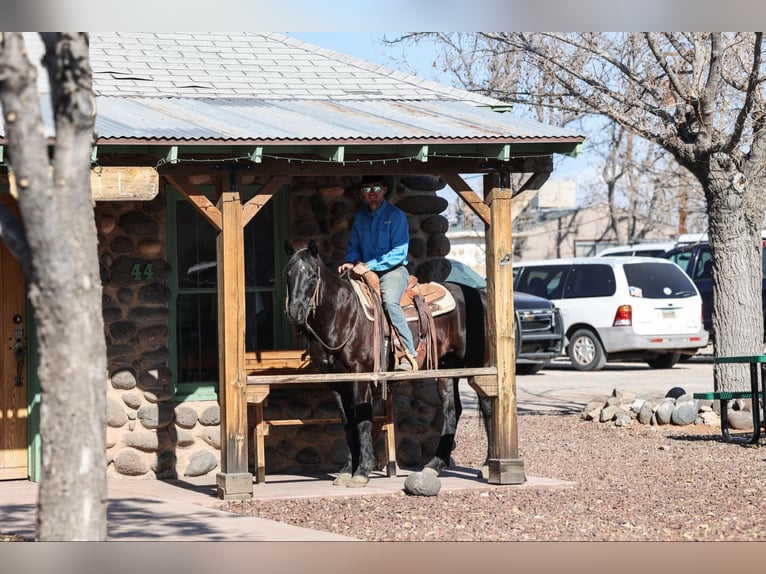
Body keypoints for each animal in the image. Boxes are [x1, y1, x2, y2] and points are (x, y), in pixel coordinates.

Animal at [283, 240, 493, 487]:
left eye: (312, 276)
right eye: (288, 273)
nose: (295, 312)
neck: (343, 315)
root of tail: (480, 295)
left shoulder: (361, 376)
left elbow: (362, 421)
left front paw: (362, 472)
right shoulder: (335, 382)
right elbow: (347, 422)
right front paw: (346, 470)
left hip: (481, 368)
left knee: (488, 408)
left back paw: (488, 466)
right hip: (446, 369)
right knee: (452, 411)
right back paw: (433, 466)